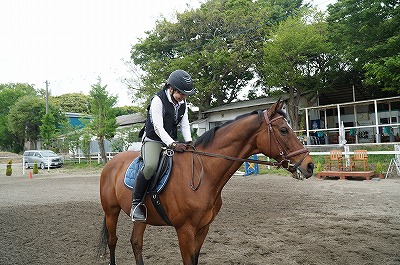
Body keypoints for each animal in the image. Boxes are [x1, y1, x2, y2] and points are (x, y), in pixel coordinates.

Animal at [98, 99, 314, 264]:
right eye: (284, 130)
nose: (310, 166)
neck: (205, 175)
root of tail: (112, 163)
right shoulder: (185, 230)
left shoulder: (203, 228)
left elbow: (195, 259)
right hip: (111, 211)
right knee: (113, 241)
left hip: (142, 217)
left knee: (136, 243)